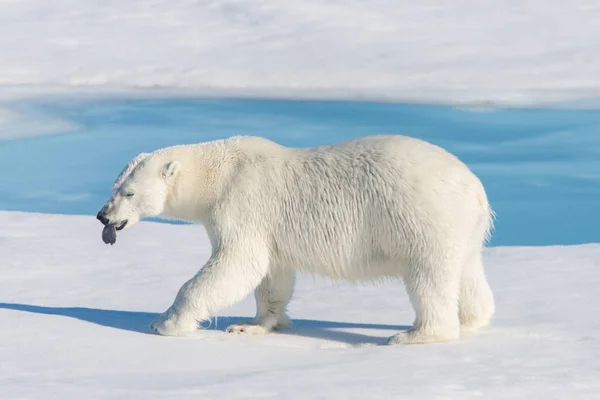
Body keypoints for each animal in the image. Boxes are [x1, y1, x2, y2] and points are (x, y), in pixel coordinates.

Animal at [96, 135, 494, 344]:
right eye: (114, 187)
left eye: (129, 193)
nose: (103, 217)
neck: (218, 173)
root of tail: (474, 187)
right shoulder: (269, 228)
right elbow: (271, 274)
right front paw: (251, 325)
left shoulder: (242, 202)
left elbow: (237, 263)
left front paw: (165, 322)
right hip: (463, 228)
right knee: (467, 271)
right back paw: (473, 319)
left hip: (420, 217)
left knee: (428, 276)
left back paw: (415, 334)